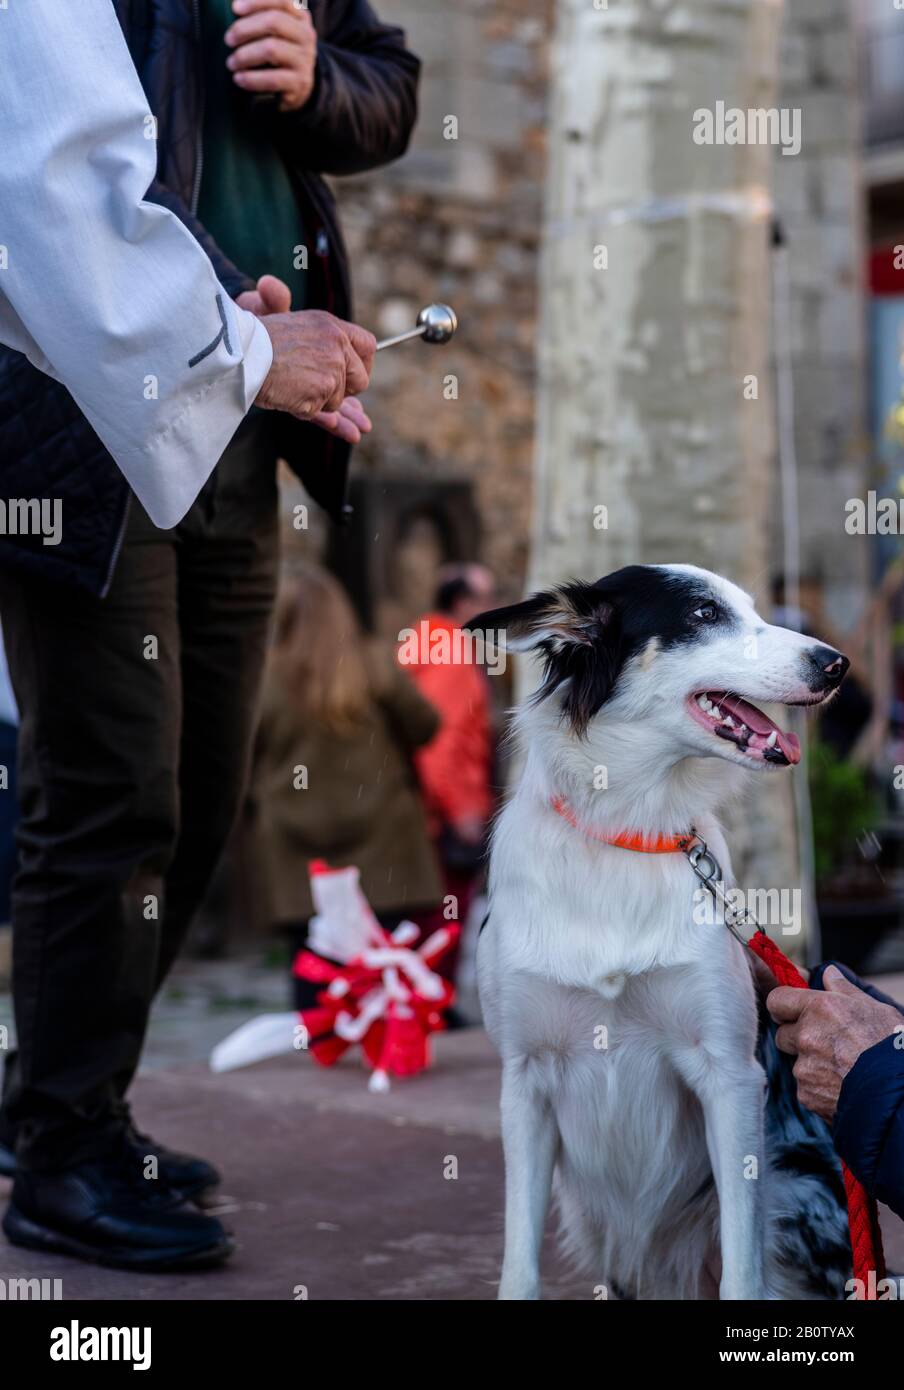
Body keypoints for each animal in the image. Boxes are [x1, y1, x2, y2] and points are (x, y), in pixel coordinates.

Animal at [472, 558, 851, 1295]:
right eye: (704, 615)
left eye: (753, 609)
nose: (836, 664)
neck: (628, 830)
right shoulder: (523, 1082)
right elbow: (519, 1268)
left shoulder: (731, 1077)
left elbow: (742, 1274)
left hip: (797, 1198)